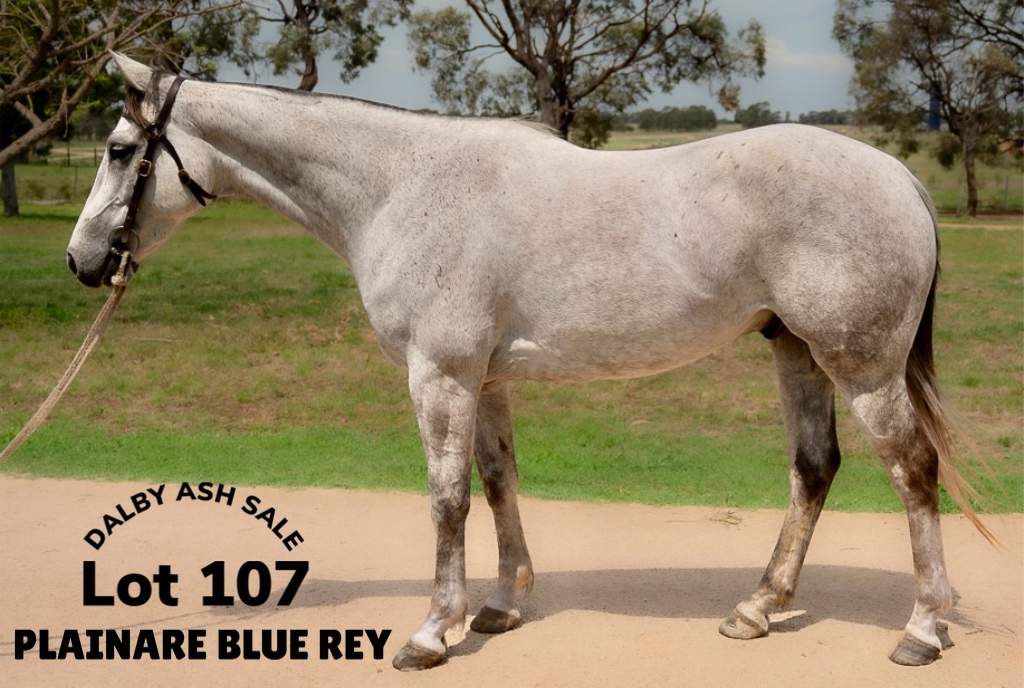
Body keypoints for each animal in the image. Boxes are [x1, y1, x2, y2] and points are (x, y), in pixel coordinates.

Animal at [67, 54, 990, 671]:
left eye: (116, 149)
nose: (82, 261)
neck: (404, 186)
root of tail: (899, 177)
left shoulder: (438, 374)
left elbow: (445, 500)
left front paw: (431, 632)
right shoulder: (485, 378)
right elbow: (497, 481)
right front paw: (501, 605)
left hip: (861, 367)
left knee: (913, 470)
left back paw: (921, 629)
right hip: (796, 352)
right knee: (814, 467)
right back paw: (758, 608)